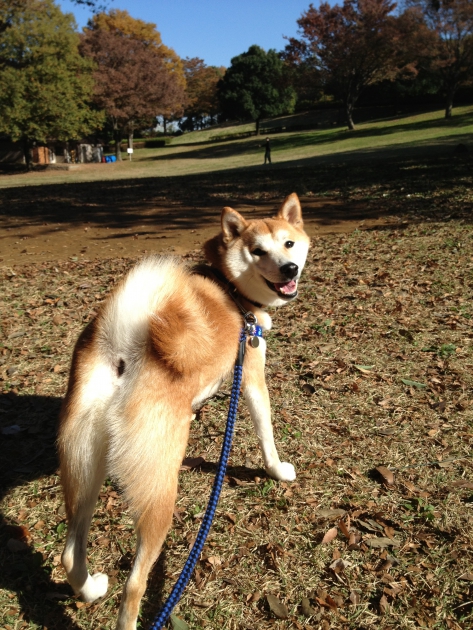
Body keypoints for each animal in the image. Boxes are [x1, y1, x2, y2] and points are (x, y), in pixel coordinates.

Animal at [58, 193, 310, 630]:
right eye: (258, 251)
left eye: (289, 244)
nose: (289, 269)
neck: (231, 289)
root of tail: (124, 348)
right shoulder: (251, 374)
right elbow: (266, 431)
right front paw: (278, 471)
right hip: (160, 494)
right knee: (134, 587)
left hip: (85, 466)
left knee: (70, 552)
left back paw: (91, 588)